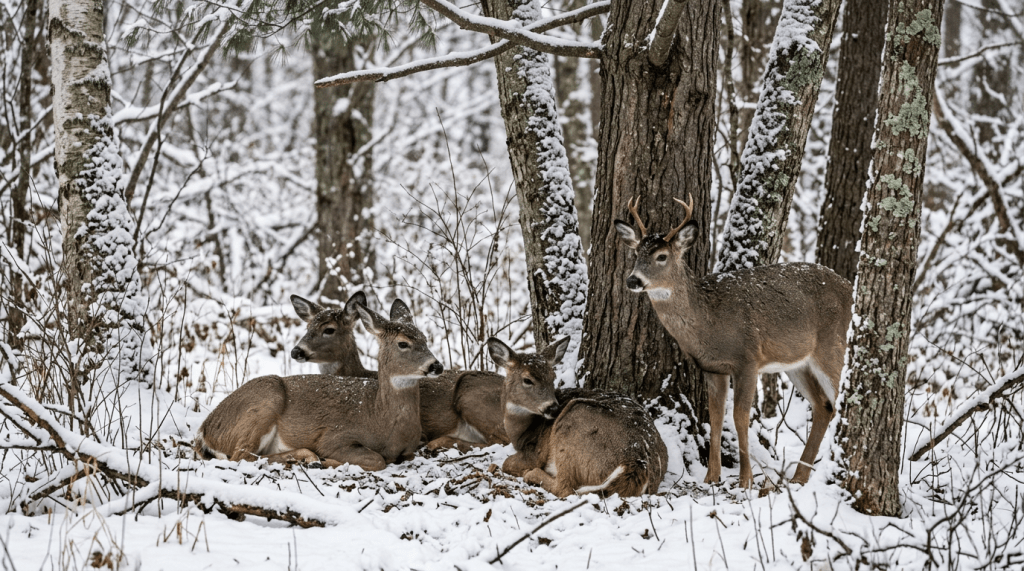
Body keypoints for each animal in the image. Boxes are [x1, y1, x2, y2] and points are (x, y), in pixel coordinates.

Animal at [194, 298, 443, 470]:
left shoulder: (412, 446)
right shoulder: (334, 436)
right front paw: (328, 460)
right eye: (403, 343)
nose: (437, 365)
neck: (381, 417)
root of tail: (204, 430)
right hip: (265, 403)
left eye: (426, 339)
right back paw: (309, 457)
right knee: (241, 457)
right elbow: (377, 459)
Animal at [487, 337, 668, 498]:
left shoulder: (536, 452)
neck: (519, 432)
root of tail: (635, 463)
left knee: (565, 487)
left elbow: (507, 463)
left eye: (553, 378)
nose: (554, 407)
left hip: (572, 423)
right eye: (527, 380)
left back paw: (532, 474)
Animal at [614, 195, 853, 488]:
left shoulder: (748, 359)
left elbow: (740, 417)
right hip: (798, 363)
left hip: (833, 347)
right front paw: (712, 476)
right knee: (824, 406)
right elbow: (716, 418)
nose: (633, 280)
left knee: (837, 402)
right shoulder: (712, 368)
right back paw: (799, 477)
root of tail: (851, 288)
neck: (710, 323)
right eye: (637, 253)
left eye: (662, 256)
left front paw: (745, 479)